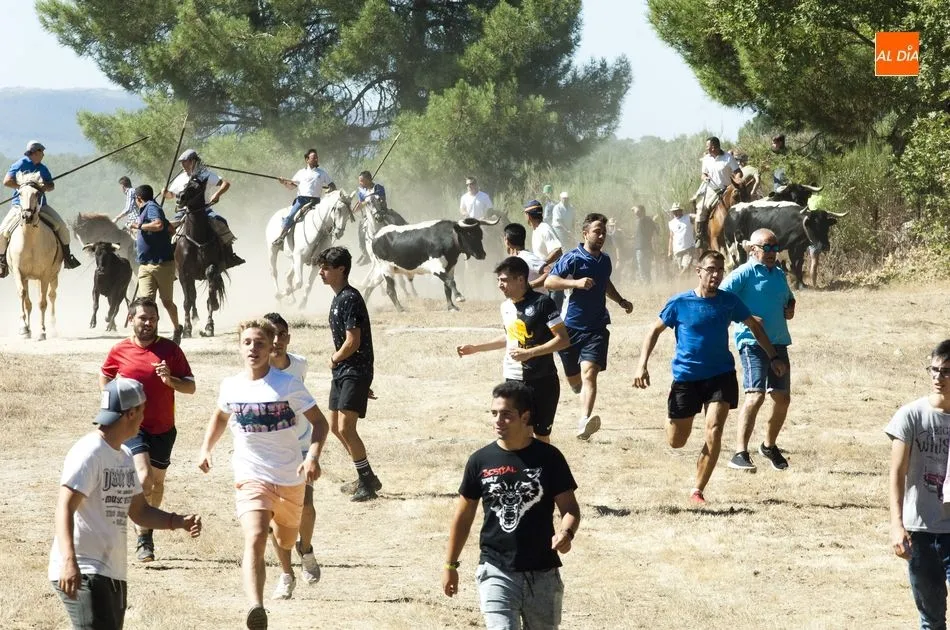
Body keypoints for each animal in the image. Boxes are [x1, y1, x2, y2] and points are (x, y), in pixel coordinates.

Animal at [8, 172, 63, 340]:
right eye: (19, 193)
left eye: (37, 194)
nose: (27, 216)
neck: (30, 239)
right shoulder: (19, 273)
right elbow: (23, 296)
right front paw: (24, 329)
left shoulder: (44, 275)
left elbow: (42, 302)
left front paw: (42, 331)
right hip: (29, 278)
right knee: (28, 302)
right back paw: (29, 329)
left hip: (53, 276)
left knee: (51, 296)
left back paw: (52, 329)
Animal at [174, 176, 228, 338]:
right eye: (184, 185)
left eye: (196, 187)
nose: (180, 197)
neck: (197, 237)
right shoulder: (184, 274)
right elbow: (187, 301)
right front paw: (187, 329)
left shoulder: (214, 267)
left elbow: (210, 295)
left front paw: (209, 326)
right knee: (192, 297)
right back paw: (194, 318)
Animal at [364, 216, 500, 311]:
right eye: (469, 234)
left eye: (480, 234)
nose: (482, 254)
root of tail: (375, 236)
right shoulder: (436, 267)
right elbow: (450, 282)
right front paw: (459, 297)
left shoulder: (450, 267)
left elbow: (447, 286)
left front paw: (451, 307)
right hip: (387, 269)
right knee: (390, 290)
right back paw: (401, 309)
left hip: (382, 271)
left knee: (369, 286)